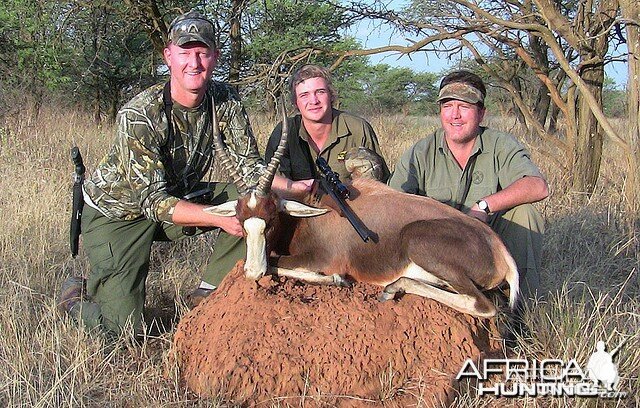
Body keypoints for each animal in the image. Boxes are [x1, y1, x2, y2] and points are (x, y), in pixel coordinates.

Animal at [206, 102, 520, 318]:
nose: (252, 272)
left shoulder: (322, 258)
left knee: (481, 304)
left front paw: (336, 280)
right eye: (241, 221)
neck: (314, 210)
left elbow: (277, 263)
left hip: (420, 242)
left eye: (270, 220)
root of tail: (498, 249)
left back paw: (391, 288)